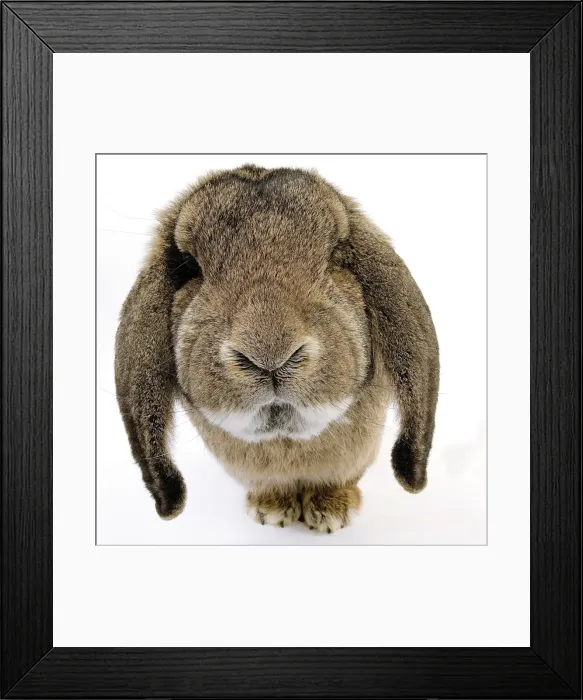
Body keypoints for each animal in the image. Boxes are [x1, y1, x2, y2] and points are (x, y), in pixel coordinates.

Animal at [114, 164, 439, 533]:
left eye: (335, 257)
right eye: (188, 267)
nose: (269, 355)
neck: (287, 445)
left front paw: (331, 514)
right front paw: (272, 511)